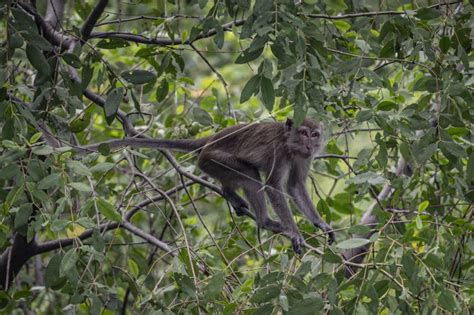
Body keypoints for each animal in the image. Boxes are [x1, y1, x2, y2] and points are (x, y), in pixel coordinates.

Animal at [80, 118, 334, 254]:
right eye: (303, 133)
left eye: (314, 134)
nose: (310, 143)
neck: (291, 146)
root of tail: (209, 140)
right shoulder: (278, 153)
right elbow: (273, 187)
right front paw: (294, 233)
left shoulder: (304, 158)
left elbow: (295, 186)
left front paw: (321, 224)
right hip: (211, 159)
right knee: (251, 175)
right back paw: (265, 221)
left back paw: (228, 193)